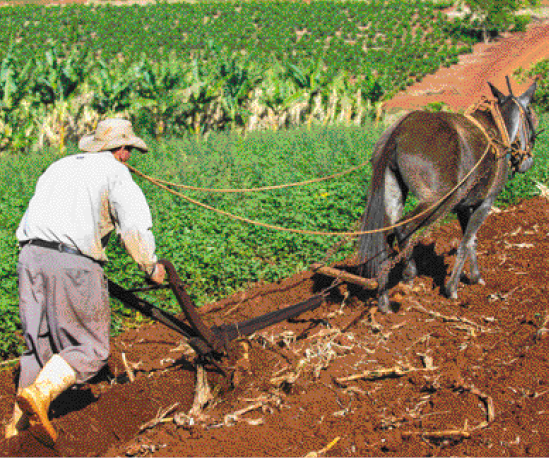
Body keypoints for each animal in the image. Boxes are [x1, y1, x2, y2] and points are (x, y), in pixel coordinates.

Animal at [358, 79, 536, 314]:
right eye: (530, 116)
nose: (527, 161)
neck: (498, 132)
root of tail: (399, 130)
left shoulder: (463, 206)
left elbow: (472, 241)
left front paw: (475, 277)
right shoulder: (485, 203)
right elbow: (466, 242)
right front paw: (452, 288)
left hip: (394, 193)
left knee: (386, 236)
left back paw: (384, 300)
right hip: (438, 200)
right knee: (403, 229)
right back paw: (409, 273)